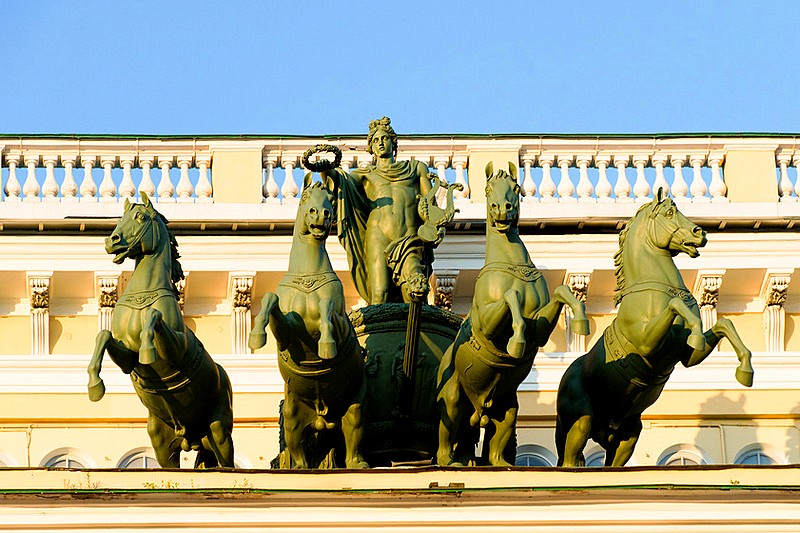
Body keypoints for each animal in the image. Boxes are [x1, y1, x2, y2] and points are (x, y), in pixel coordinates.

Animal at [86, 193, 233, 468]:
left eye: (141, 216)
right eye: (121, 218)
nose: (111, 241)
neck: (142, 297)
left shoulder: (176, 350)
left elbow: (154, 319)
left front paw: (147, 349)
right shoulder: (126, 358)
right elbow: (104, 336)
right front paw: (95, 386)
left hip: (218, 431)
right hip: (162, 442)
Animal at [434, 162, 592, 466]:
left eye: (516, 188)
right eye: (487, 190)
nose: (501, 208)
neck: (511, 264)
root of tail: (479, 411)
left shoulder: (540, 330)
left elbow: (561, 291)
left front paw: (580, 320)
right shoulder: (486, 326)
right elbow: (511, 298)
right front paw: (516, 341)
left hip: (507, 407)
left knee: (496, 443)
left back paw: (502, 464)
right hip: (453, 399)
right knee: (445, 437)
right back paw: (450, 462)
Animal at [556, 191, 756, 466]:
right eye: (669, 213)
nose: (700, 233)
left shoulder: (688, 357)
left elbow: (724, 324)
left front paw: (745, 371)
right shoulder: (646, 344)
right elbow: (675, 306)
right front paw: (695, 333)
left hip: (627, 436)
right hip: (580, 423)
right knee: (570, 460)